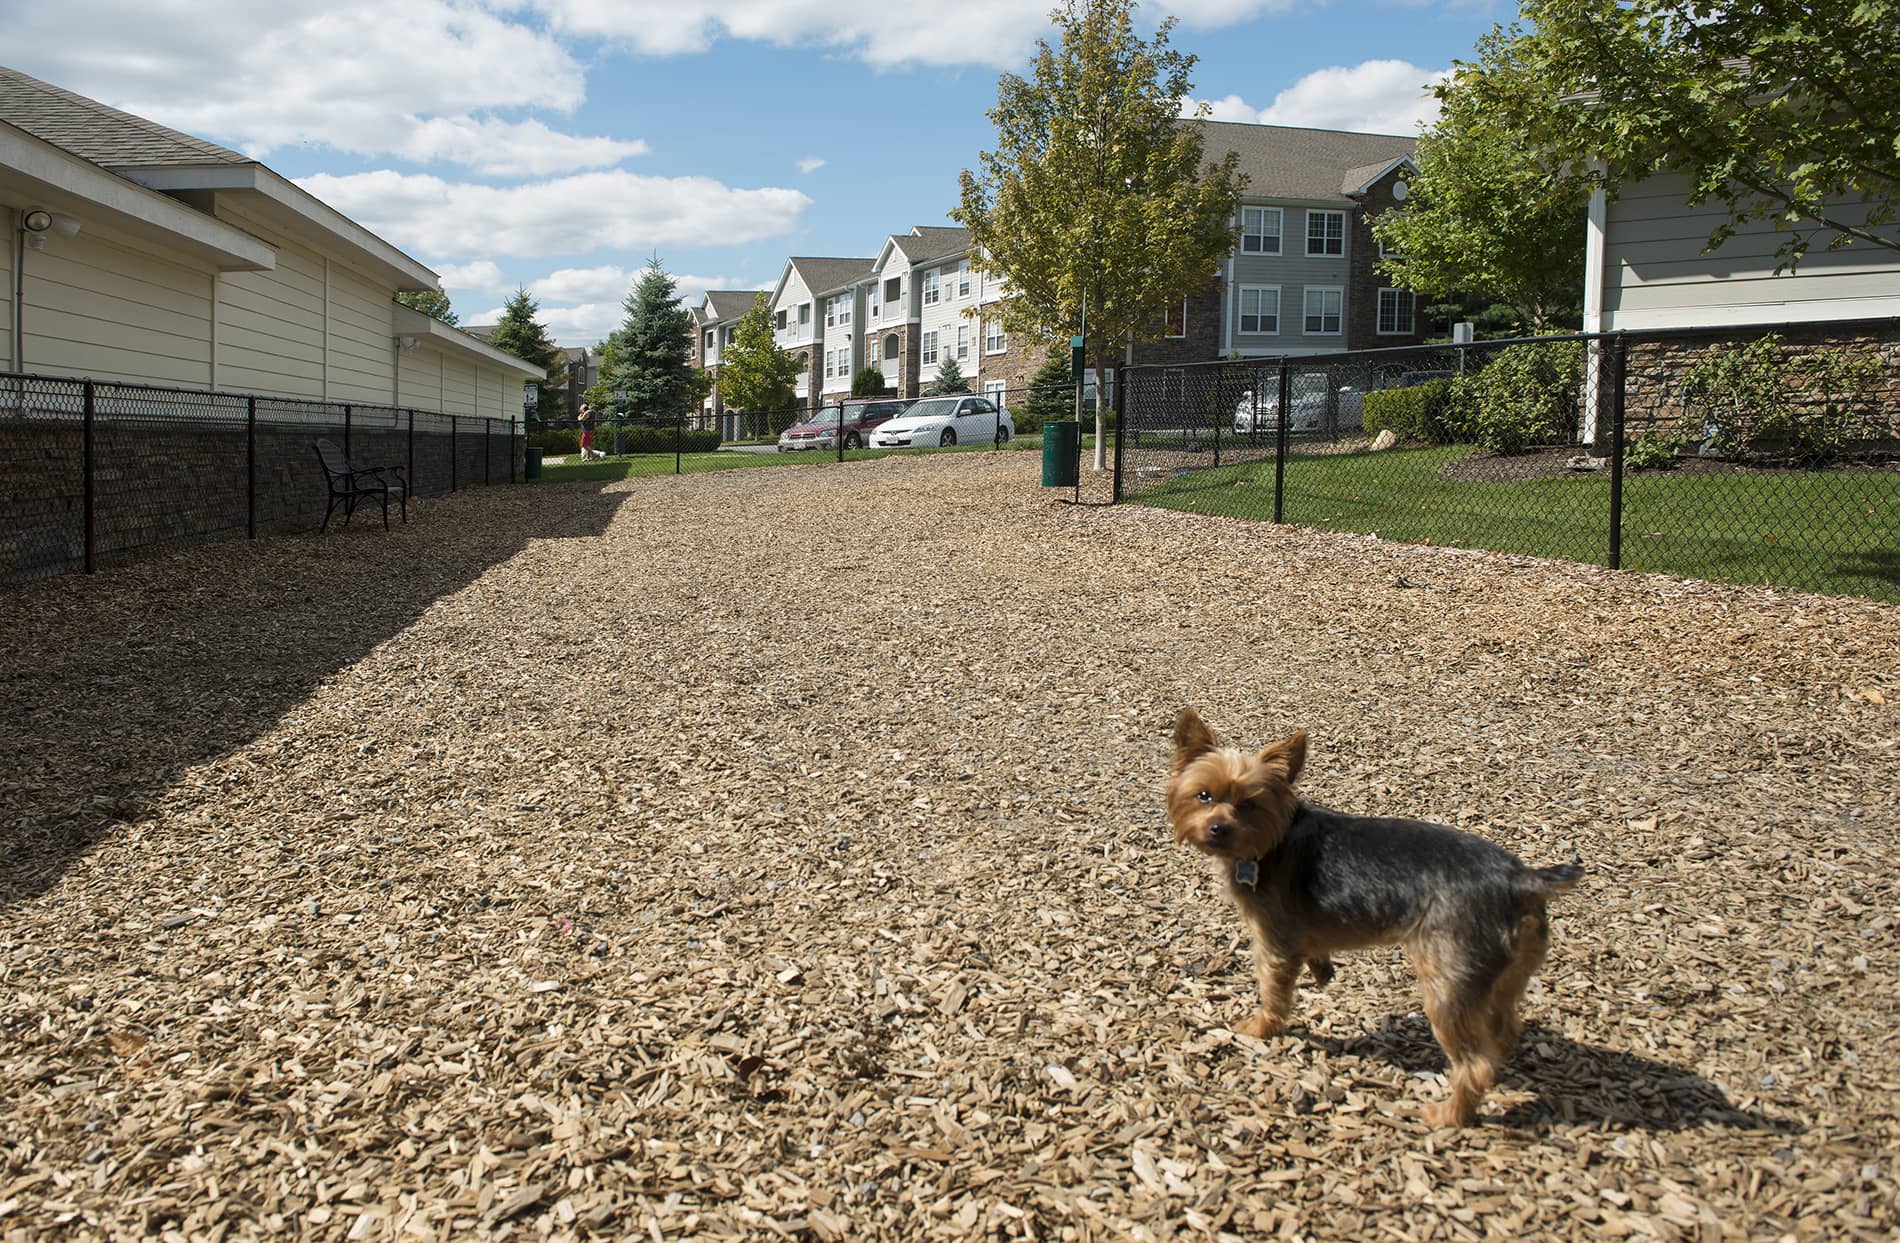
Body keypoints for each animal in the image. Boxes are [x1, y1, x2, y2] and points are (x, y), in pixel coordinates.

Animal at [1162, 710, 1580, 1132]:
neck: (1270, 844)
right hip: (1507, 973)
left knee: (1475, 1063)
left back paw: (1447, 1115)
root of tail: (1521, 879)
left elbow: (1273, 989)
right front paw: (1322, 969)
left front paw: (1260, 1028)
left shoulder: (1274, 938)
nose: (1218, 828)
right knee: (1504, 1030)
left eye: (1249, 805)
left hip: (1450, 980)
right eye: (1204, 795)